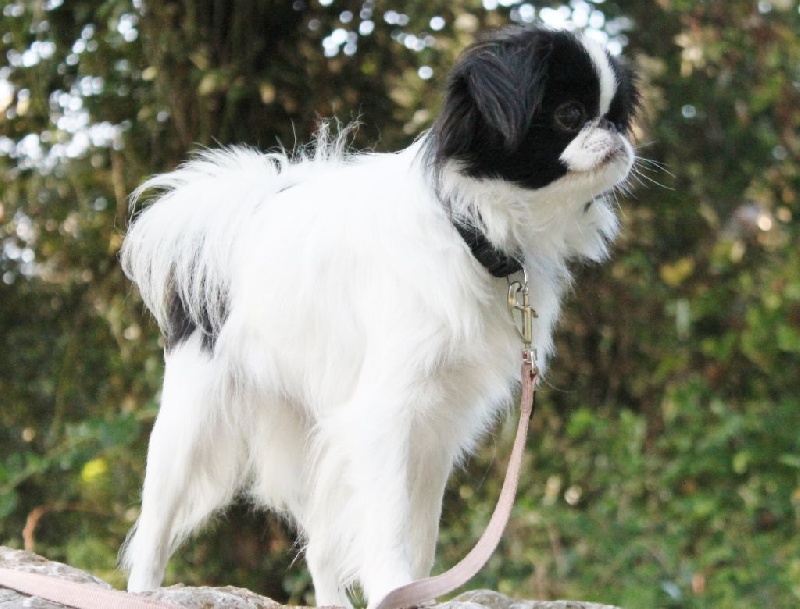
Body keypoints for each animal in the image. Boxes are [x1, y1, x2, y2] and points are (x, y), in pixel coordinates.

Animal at [120, 24, 638, 609]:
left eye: (617, 116)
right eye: (570, 115)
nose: (616, 134)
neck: (474, 231)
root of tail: (239, 211)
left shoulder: (435, 426)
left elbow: (421, 535)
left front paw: (413, 594)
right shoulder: (386, 418)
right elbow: (389, 528)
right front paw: (393, 587)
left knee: (321, 548)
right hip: (193, 419)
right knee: (157, 523)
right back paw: (143, 591)